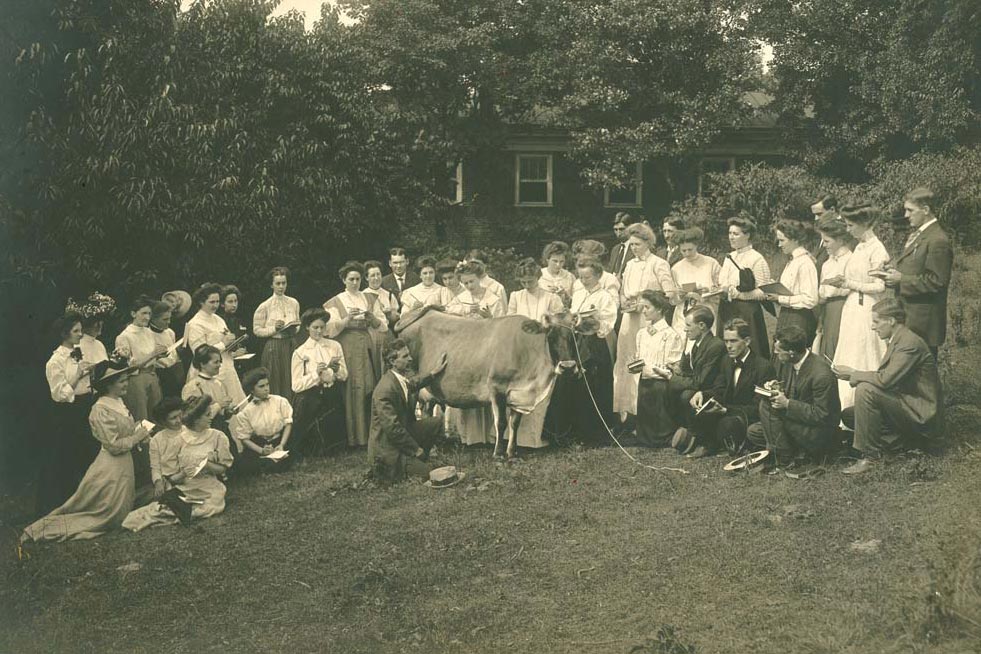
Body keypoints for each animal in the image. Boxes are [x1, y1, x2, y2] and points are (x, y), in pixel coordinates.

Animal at [396, 308, 584, 462]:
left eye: (574, 335)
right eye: (550, 335)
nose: (568, 367)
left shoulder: (518, 394)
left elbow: (514, 423)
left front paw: (512, 453)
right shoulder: (497, 388)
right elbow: (501, 423)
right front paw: (498, 454)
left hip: (429, 392)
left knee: (427, 412)